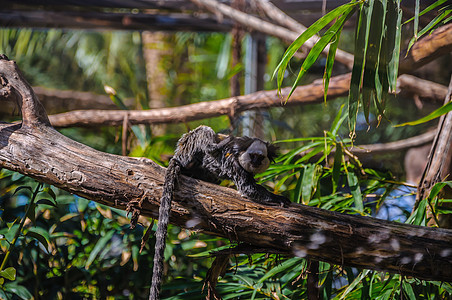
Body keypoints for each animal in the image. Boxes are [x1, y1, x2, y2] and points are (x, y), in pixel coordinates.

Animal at [148, 125, 290, 298]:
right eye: (253, 156)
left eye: (260, 157)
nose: (255, 162)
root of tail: (177, 157)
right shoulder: (232, 162)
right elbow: (248, 188)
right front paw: (278, 198)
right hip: (187, 149)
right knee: (204, 131)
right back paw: (214, 146)